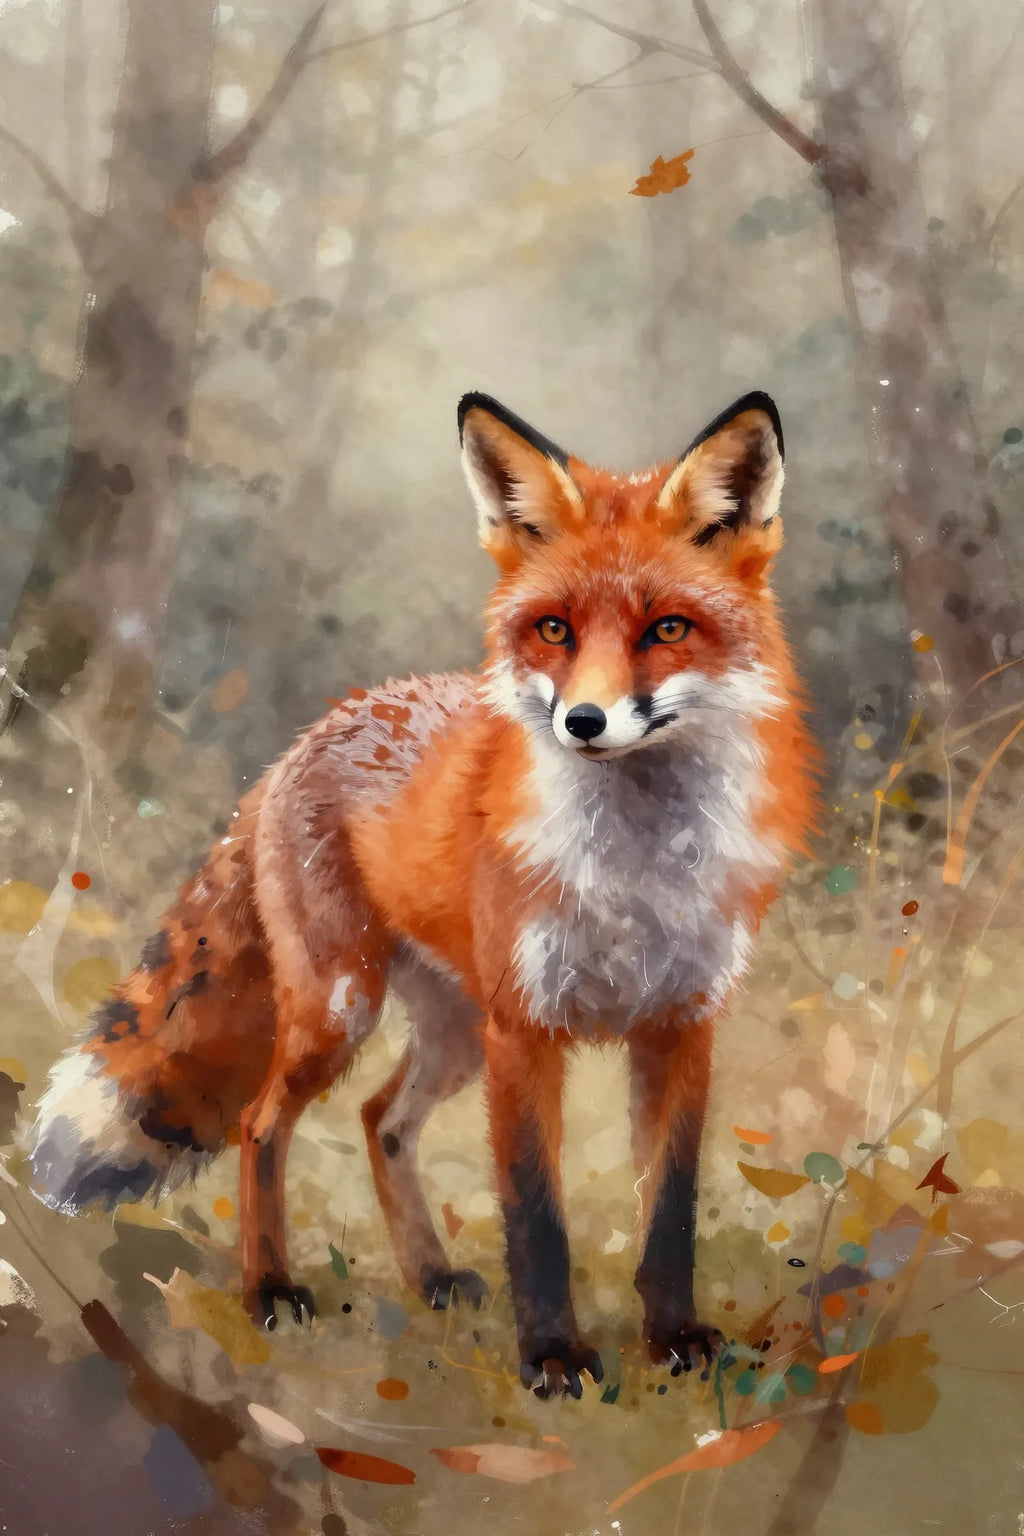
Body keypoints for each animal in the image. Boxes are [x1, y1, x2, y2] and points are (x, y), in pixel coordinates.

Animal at [28, 388, 817, 1398]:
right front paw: (553, 1360)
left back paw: (431, 1276)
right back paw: (271, 1291)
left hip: (451, 1033)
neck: (633, 878)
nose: (584, 722)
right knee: (259, 1124)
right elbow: (536, 1214)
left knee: (381, 1121)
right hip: (343, 1009)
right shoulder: (526, 1030)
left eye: (667, 629)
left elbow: (669, 1210)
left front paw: (676, 1342)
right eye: (554, 629)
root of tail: (309, 735)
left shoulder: (681, 1026)